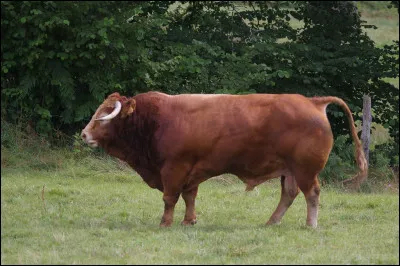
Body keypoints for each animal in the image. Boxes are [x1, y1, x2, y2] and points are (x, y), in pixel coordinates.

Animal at [82, 92, 368, 229]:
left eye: (105, 115)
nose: (84, 134)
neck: (155, 120)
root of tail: (312, 101)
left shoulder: (174, 168)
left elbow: (170, 198)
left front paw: (165, 223)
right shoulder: (192, 171)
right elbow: (189, 197)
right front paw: (189, 220)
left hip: (305, 171)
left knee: (312, 194)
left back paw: (311, 224)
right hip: (289, 171)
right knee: (289, 194)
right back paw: (272, 221)